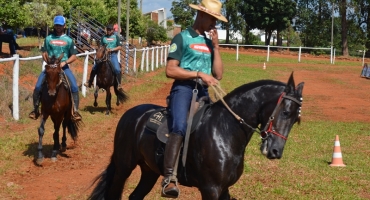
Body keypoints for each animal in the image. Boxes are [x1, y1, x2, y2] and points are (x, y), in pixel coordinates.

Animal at [87, 72, 304, 199]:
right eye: (286, 112)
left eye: (296, 119)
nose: (275, 151)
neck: (224, 131)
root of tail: (131, 115)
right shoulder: (210, 189)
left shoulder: (224, 190)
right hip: (124, 168)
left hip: (149, 171)